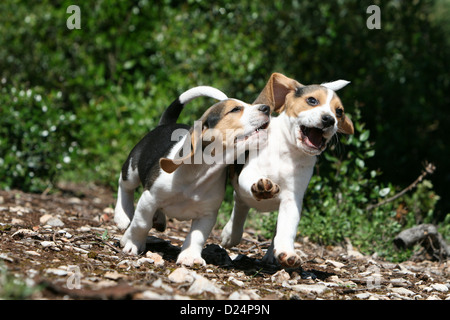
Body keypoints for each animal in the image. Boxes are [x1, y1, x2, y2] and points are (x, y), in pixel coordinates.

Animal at [115, 86, 270, 266]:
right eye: (235, 109)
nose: (267, 108)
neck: (200, 173)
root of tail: (166, 124)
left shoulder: (207, 215)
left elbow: (196, 236)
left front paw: (190, 256)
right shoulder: (149, 198)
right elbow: (141, 223)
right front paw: (133, 243)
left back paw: (158, 218)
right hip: (132, 168)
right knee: (124, 185)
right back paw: (122, 215)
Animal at [221, 72, 356, 268]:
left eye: (339, 112)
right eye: (312, 100)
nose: (329, 119)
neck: (288, 151)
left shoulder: (292, 199)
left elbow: (286, 229)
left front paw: (286, 252)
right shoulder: (248, 172)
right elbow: (253, 180)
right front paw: (263, 187)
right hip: (240, 192)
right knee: (240, 206)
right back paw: (230, 234)